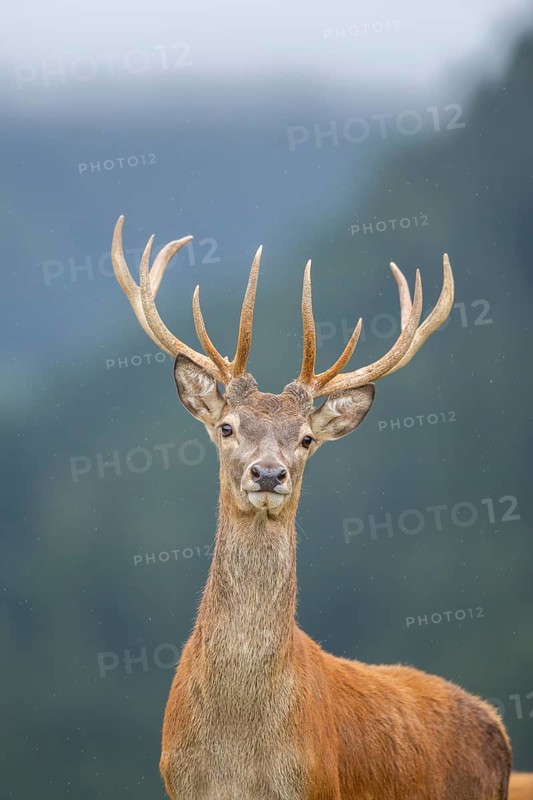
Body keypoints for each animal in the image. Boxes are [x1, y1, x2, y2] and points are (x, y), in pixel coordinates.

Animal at [111, 215, 529, 800]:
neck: (238, 758)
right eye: (227, 427)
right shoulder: (179, 783)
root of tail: (497, 723)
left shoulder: (318, 782)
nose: (268, 473)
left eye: (307, 439)